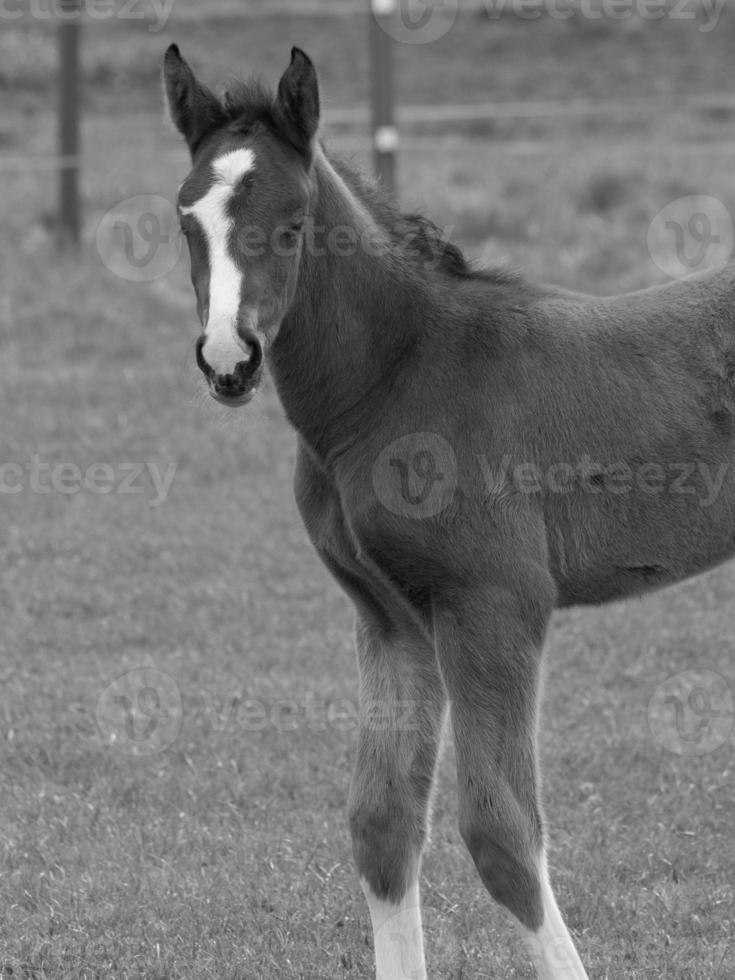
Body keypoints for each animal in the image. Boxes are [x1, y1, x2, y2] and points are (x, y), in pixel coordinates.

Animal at [164, 46, 732, 980]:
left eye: (293, 223)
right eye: (185, 221)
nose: (227, 359)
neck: (397, 381)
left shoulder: (492, 604)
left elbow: (503, 835)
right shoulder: (390, 616)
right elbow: (382, 825)